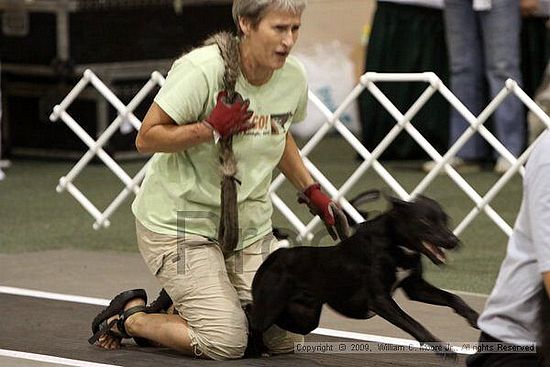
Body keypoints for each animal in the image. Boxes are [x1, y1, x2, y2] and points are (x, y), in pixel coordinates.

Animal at [252, 194, 480, 358]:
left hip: (304, 317)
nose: (454, 241)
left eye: (446, 219)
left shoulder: (415, 287)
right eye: (424, 221)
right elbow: (414, 323)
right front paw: (444, 349)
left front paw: (475, 318)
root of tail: (276, 255)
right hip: (272, 306)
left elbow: (453, 297)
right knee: (255, 322)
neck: (395, 244)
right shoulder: (380, 300)